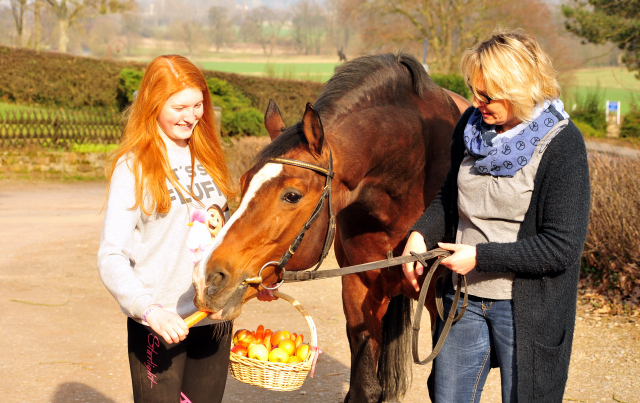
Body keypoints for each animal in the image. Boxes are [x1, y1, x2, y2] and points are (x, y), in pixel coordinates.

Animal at [192, 53, 468, 403]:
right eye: (243, 182)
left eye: (292, 195)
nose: (207, 278)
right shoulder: (358, 290)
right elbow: (366, 387)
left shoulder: (444, 310)